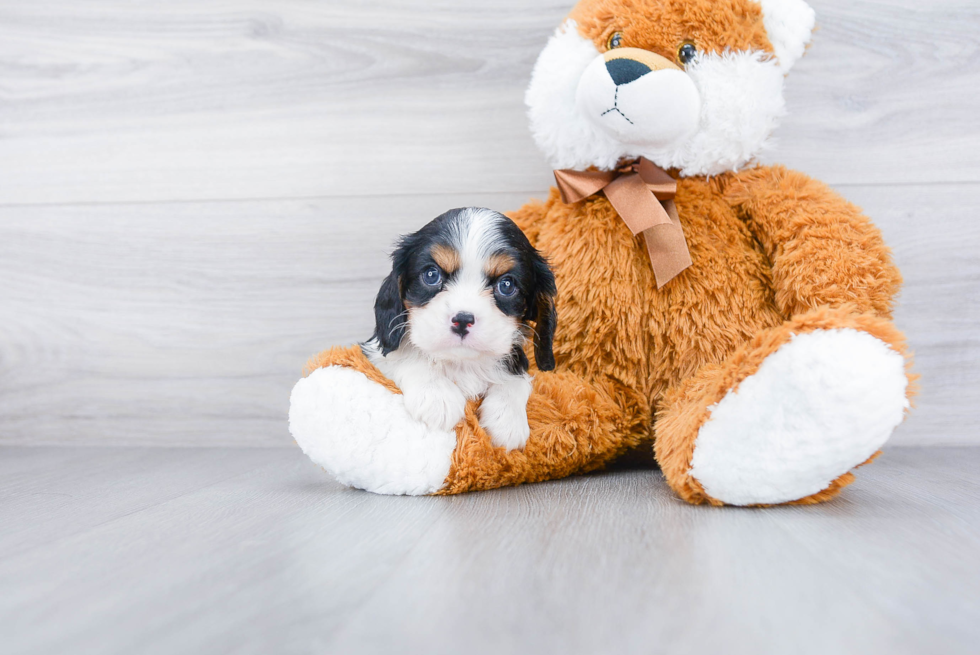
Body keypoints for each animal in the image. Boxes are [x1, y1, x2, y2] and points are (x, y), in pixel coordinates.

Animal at [362, 209, 560, 452]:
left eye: (506, 285)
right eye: (431, 275)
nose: (463, 320)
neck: (462, 363)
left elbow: (516, 379)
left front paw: (508, 419)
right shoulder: (375, 352)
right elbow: (408, 355)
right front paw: (437, 395)